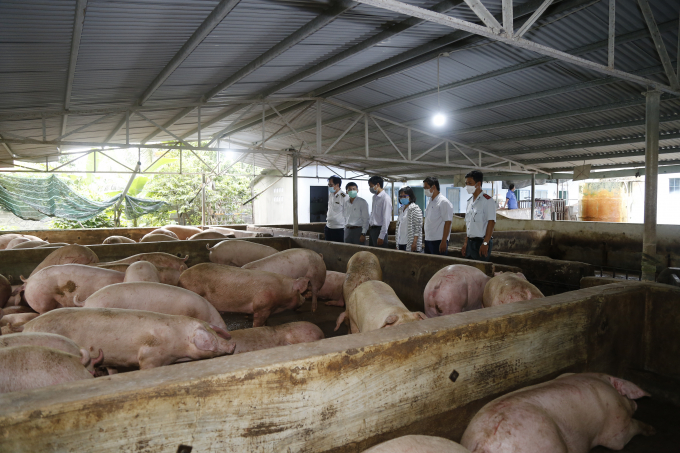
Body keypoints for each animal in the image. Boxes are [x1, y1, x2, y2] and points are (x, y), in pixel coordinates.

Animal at [460, 370, 656, 452]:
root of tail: (483, 442)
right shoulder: (616, 428)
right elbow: (623, 437)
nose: (635, 404)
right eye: (629, 398)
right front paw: (650, 430)